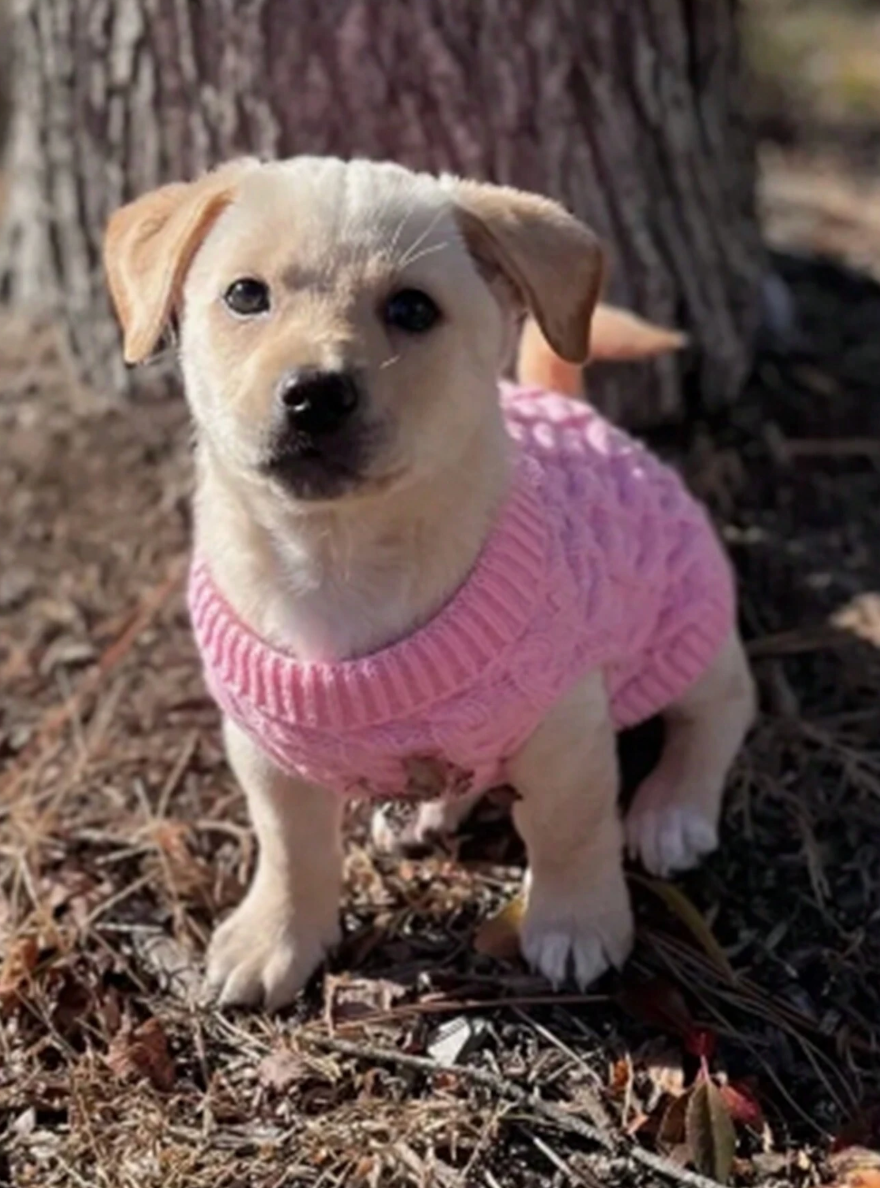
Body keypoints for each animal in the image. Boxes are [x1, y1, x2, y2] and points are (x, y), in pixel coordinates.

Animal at [101, 160, 750, 1012]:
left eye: (413, 308)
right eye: (245, 295)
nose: (314, 394)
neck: (337, 557)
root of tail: (572, 406)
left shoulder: (566, 730)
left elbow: (571, 830)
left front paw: (576, 922)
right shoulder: (263, 751)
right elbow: (290, 847)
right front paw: (276, 938)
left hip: (685, 618)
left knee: (720, 710)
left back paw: (672, 808)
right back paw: (428, 812)